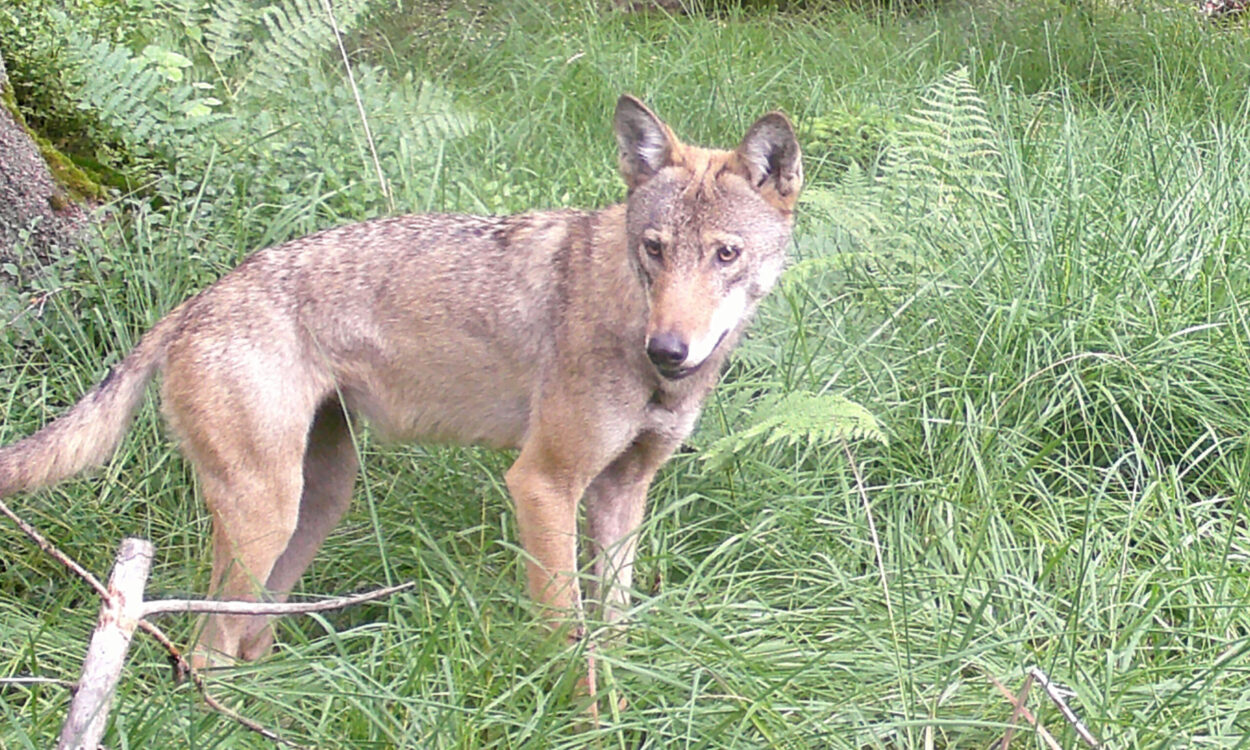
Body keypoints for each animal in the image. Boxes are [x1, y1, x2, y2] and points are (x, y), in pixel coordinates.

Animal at [0, 95, 802, 664]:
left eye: (726, 254)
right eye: (654, 250)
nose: (669, 350)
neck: (629, 317)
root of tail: (195, 303)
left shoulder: (622, 494)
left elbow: (615, 631)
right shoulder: (541, 484)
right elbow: (567, 638)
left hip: (315, 505)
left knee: (249, 637)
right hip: (269, 514)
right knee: (207, 649)